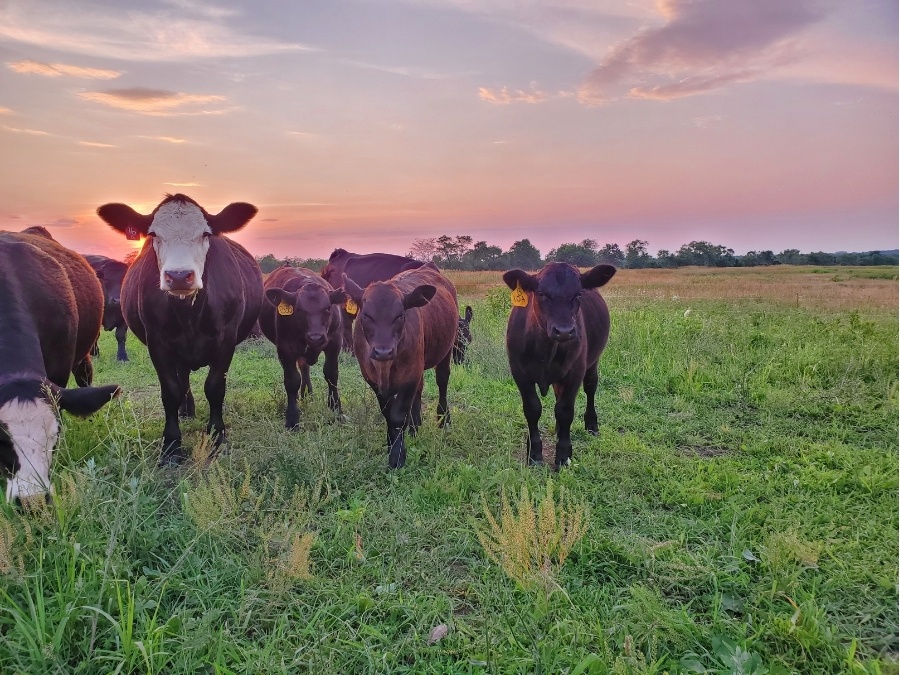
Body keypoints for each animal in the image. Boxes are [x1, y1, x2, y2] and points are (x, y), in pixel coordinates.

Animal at [98, 194, 264, 464]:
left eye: (206, 234)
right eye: (153, 234)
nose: (178, 275)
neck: (189, 315)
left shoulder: (226, 340)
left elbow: (215, 388)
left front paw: (217, 436)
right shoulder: (157, 343)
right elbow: (170, 391)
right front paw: (172, 445)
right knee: (182, 377)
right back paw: (186, 410)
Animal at [259, 265, 346, 429]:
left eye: (327, 308)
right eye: (299, 310)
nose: (315, 337)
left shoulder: (335, 343)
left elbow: (331, 375)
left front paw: (336, 410)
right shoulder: (286, 349)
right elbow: (292, 381)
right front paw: (292, 418)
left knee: (305, 367)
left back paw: (307, 393)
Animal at [343, 263, 458, 469]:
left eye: (400, 316)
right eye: (366, 315)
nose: (383, 351)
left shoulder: (410, 375)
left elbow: (398, 416)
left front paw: (397, 457)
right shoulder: (373, 379)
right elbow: (388, 414)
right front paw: (391, 443)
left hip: (446, 350)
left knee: (442, 381)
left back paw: (443, 419)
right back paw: (414, 426)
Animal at [502, 262, 615, 469]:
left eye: (579, 293)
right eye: (540, 293)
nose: (564, 331)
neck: (545, 350)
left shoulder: (574, 373)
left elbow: (564, 411)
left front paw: (563, 455)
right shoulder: (520, 373)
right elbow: (532, 409)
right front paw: (534, 454)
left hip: (592, 363)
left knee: (591, 388)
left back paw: (592, 425)